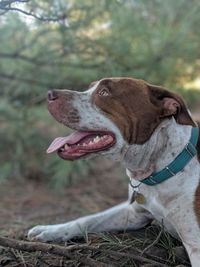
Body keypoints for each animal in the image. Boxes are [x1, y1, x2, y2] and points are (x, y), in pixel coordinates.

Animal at [27, 77, 200, 267]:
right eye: (90, 88)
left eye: (104, 92)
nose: (50, 94)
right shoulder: (134, 213)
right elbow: (89, 219)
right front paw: (50, 230)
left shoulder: (196, 246)